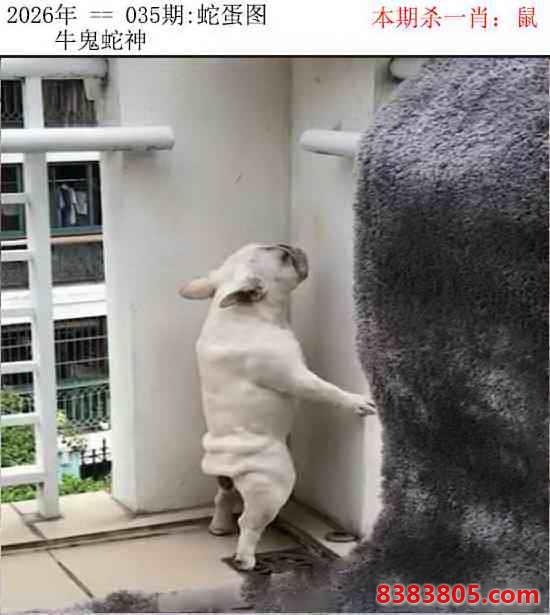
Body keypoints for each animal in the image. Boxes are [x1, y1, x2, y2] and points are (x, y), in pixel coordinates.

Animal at [179, 243, 376, 570]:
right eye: (282, 256)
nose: (293, 247)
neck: (243, 313)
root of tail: (226, 466)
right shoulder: (295, 376)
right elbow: (326, 389)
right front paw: (356, 402)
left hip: (230, 485)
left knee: (223, 497)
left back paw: (219, 526)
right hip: (273, 486)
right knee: (249, 522)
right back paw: (245, 558)